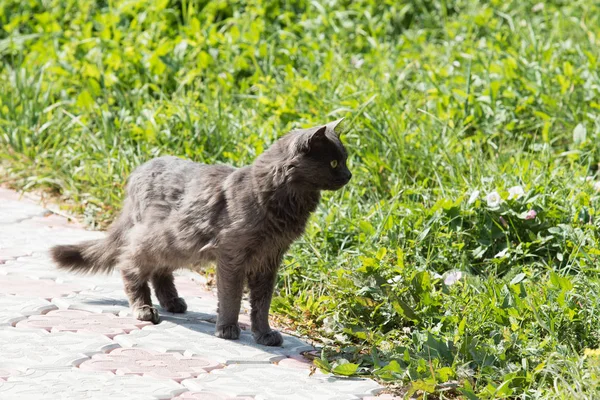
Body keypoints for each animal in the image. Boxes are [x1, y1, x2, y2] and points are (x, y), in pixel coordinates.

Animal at [52, 118, 352, 344]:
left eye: (345, 160)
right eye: (333, 163)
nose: (349, 175)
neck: (280, 199)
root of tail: (137, 172)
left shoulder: (270, 258)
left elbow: (262, 303)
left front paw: (264, 334)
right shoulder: (232, 254)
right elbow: (231, 296)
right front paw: (227, 329)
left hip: (177, 243)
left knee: (159, 270)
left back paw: (172, 302)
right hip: (159, 238)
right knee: (129, 264)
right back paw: (145, 309)